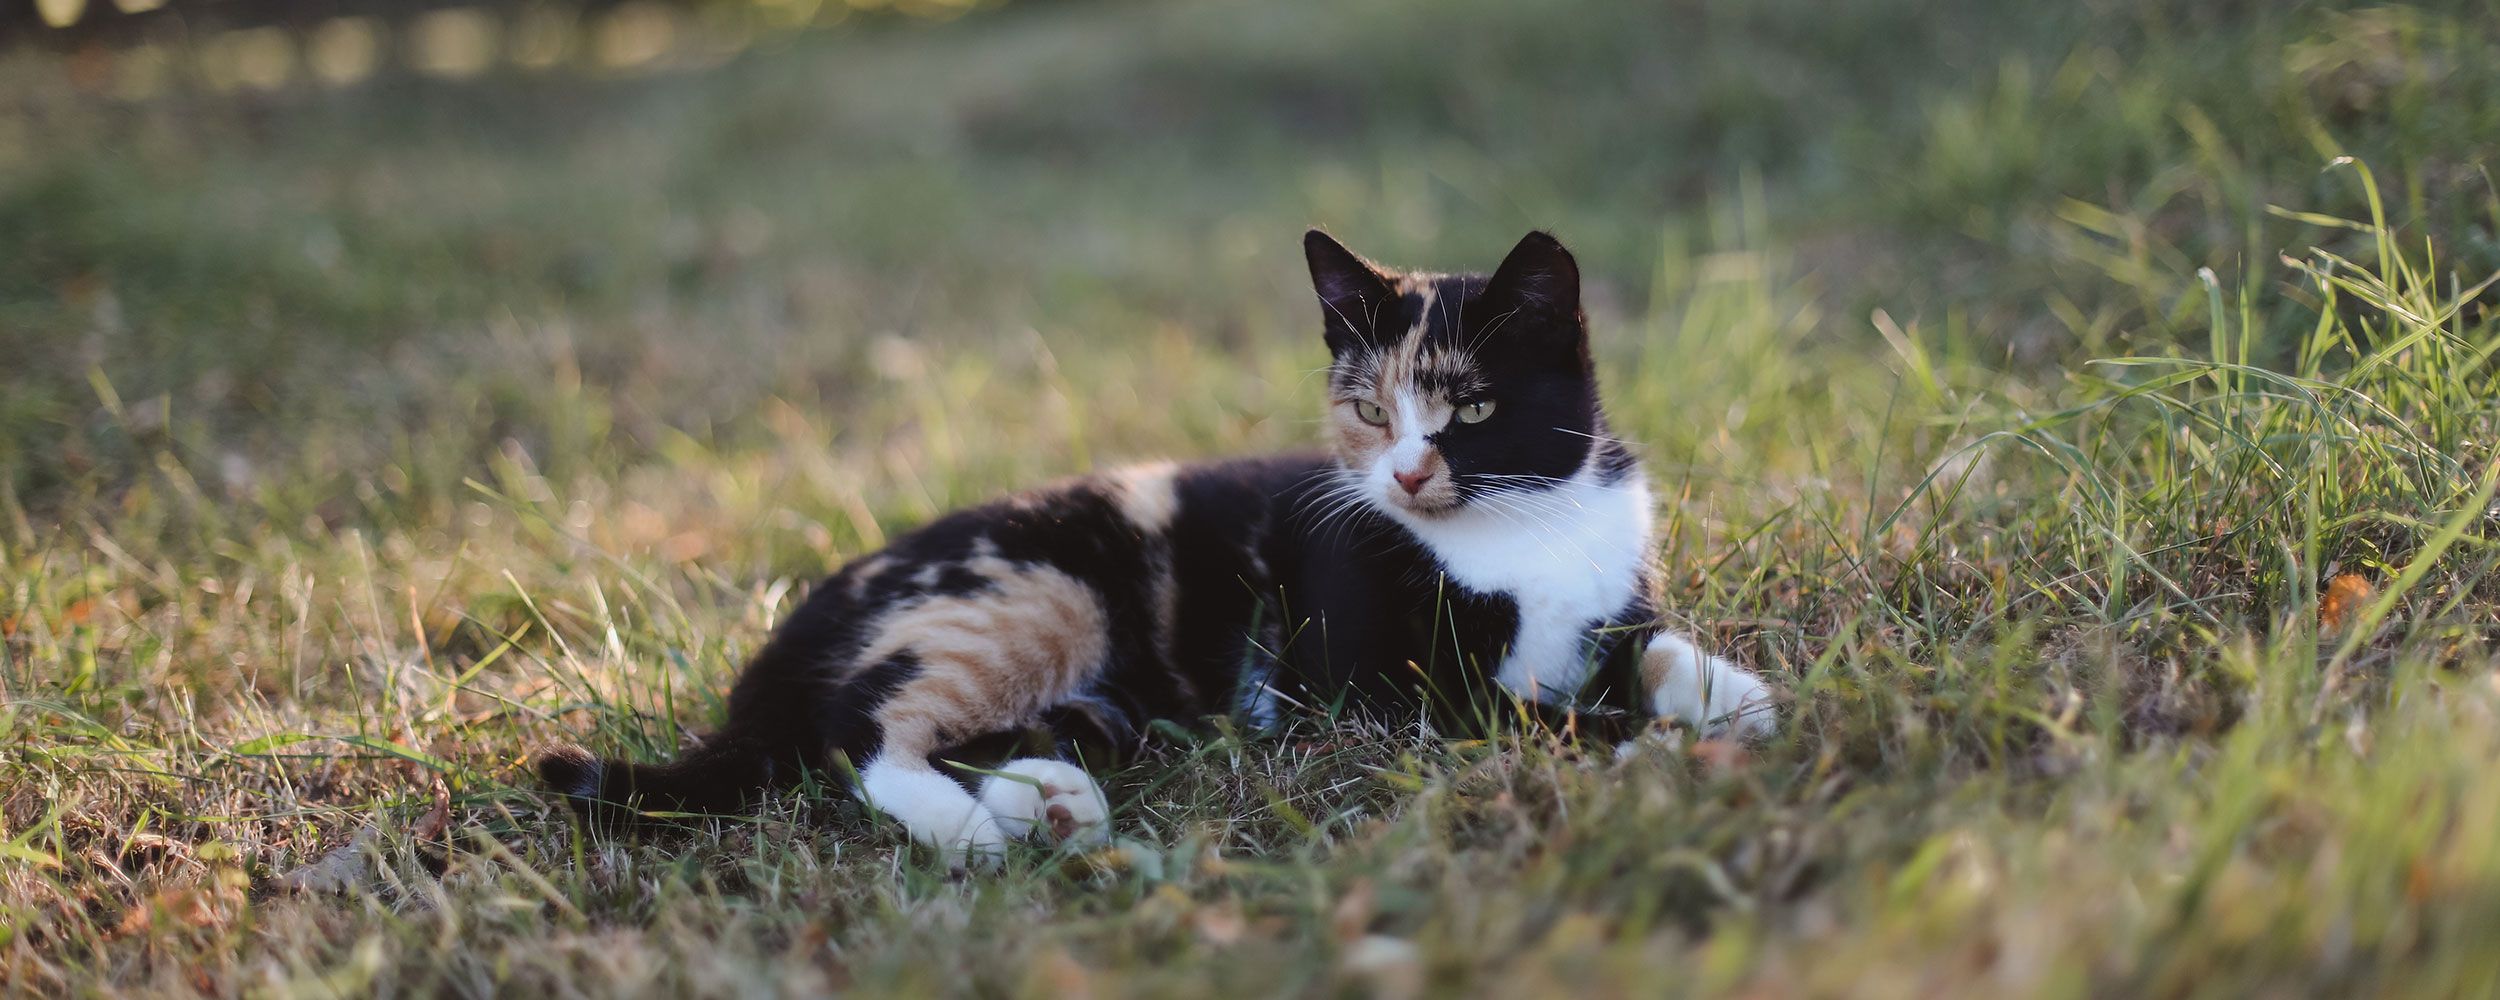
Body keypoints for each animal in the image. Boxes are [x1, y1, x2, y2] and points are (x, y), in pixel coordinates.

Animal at [535, 228, 1770, 860]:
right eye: (1371, 409)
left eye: (1470, 408)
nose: (1408, 474)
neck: (1521, 524)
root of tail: (792, 635)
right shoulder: (1369, 689)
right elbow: (1521, 711)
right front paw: (1642, 737)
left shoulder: (1612, 584)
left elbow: (1647, 645)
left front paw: (1732, 694)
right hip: (1027, 590)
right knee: (860, 728)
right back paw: (969, 829)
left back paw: (1049, 798)